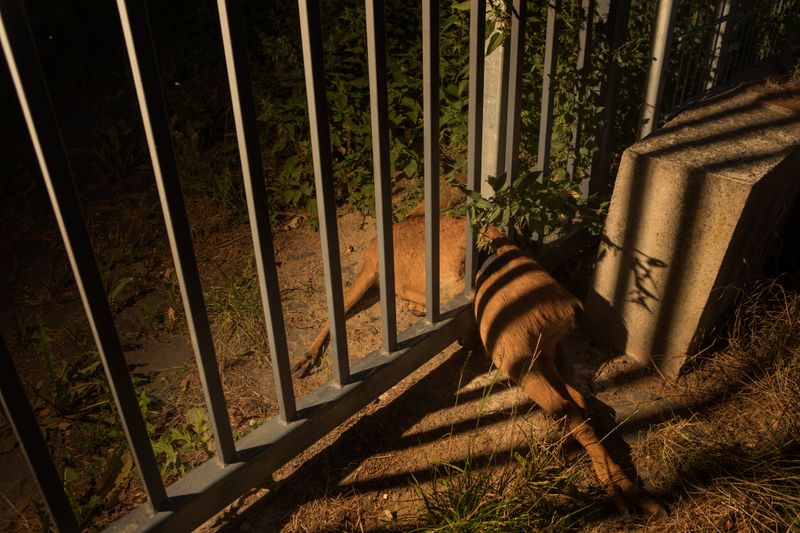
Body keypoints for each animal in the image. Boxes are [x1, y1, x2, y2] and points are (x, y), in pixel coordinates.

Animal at [292, 201, 665, 516]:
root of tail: (564, 306)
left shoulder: (370, 272)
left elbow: (333, 316)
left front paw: (307, 359)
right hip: (540, 356)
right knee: (581, 404)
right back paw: (633, 494)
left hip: (514, 358)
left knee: (571, 412)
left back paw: (623, 495)